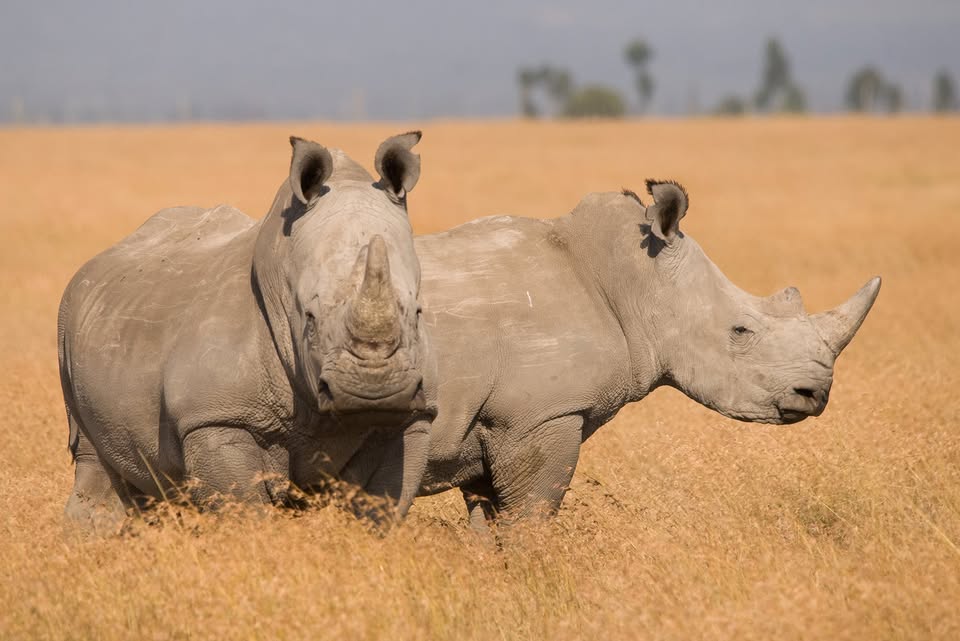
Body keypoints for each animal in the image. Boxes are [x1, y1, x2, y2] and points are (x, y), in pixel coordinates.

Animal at [58, 132, 436, 532]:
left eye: (417, 313)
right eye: (309, 318)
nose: (373, 391)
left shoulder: (412, 415)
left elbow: (381, 505)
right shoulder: (216, 416)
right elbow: (244, 509)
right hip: (68, 324)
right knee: (94, 458)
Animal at [411, 181, 880, 528]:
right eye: (740, 330)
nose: (815, 394)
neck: (631, 280)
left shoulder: (493, 428)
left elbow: (487, 527)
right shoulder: (537, 417)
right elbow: (528, 522)